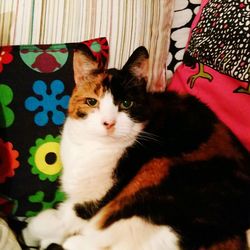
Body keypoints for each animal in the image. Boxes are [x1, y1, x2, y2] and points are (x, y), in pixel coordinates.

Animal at [22, 45, 249, 250]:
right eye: (92, 101)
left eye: (126, 103)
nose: (108, 123)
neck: (92, 147)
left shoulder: (91, 202)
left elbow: (53, 221)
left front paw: (30, 234)